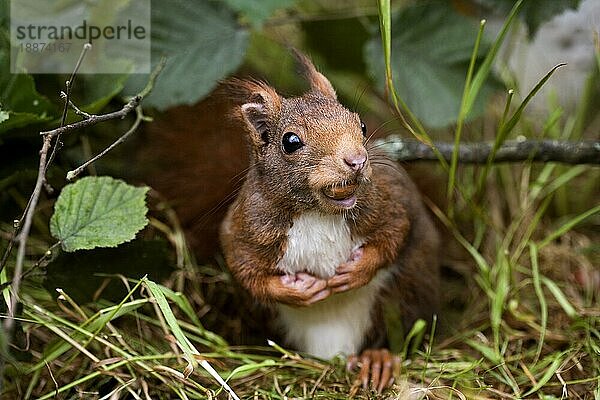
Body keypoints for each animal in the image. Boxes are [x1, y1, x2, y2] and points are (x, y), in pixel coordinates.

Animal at [220, 51, 440, 392]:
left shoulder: (388, 202)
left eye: (361, 124)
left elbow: (395, 233)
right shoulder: (247, 229)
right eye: (291, 142)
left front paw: (357, 271)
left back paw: (377, 360)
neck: (318, 214)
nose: (357, 160)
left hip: (402, 294)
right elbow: (247, 271)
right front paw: (297, 292)